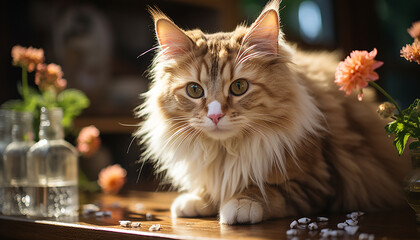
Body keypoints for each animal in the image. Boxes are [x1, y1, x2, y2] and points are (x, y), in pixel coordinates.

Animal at [137, 0, 410, 225]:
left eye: (239, 87)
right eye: (194, 90)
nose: (215, 116)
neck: (226, 151)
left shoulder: (317, 181)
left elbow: (267, 190)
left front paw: (239, 203)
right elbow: (213, 186)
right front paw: (197, 199)